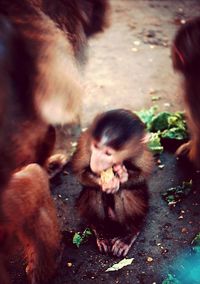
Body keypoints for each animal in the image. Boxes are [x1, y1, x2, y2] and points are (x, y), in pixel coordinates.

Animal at [71, 108, 154, 258]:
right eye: (95, 147)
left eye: (108, 153)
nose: (95, 164)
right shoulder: (84, 143)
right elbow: (80, 174)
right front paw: (103, 181)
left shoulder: (141, 150)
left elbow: (143, 174)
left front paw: (122, 175)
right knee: (94, 191)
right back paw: (100, 232)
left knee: (125, 192)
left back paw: (129, 234)